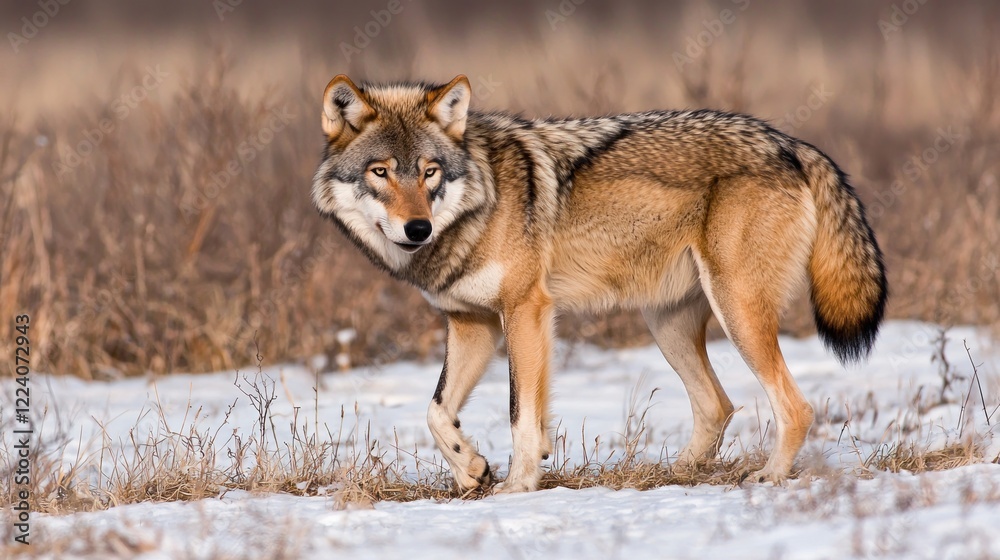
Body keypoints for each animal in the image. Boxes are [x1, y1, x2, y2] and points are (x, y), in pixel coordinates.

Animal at [312, 75, 887, 493]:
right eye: (381, 172)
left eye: (430, 172)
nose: (418, 229)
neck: (479, 201)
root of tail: (789, 142)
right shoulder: (471, 323)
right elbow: (436, 411)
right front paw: (471, 470)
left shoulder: (527, 311)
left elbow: (522, 415)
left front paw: (517, 487)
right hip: (668, 326)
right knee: (718, 405)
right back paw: (675, 475)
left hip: (736, 312)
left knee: (796, 406)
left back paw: (768, 477)